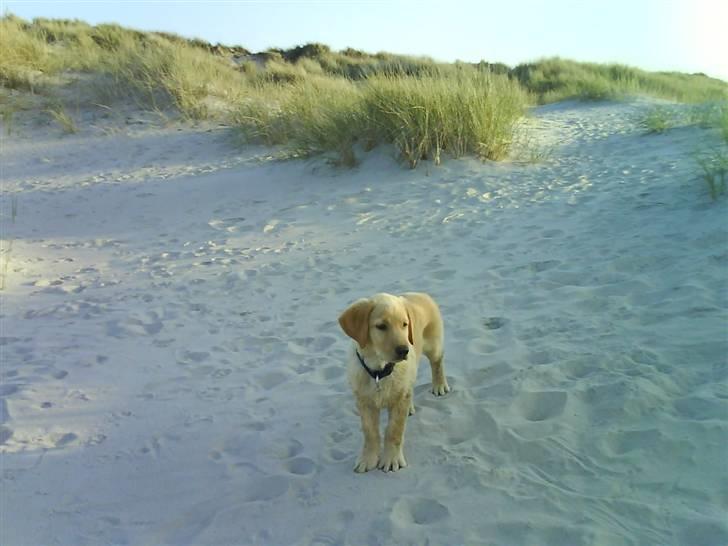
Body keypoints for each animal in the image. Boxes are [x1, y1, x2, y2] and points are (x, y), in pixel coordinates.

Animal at [336, 292, 450, 470]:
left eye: (404, 325)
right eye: (381, 326)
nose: (404, 350)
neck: (379, 370)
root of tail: (421, 293)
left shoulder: (399, 401)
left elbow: (394, 431)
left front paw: (391, 459)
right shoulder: (364, 401)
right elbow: (370, 433)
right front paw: (368, 459)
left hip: (433, 345)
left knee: (437, 362)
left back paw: (440, 385)